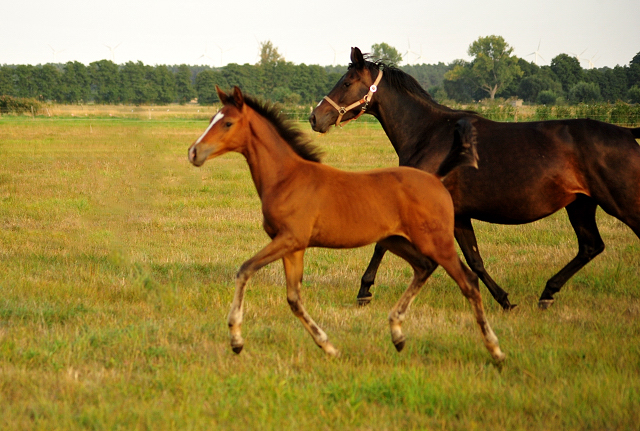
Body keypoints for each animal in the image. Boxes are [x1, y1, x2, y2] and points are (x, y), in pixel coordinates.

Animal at [189, 85, 504, 362]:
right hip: (397, 240)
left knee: (468, 282)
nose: (194, 152)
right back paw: (397, 334)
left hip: (437, 242)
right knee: (424, 268)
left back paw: (495, 350)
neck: (286, 177)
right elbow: (294, 298)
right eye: (212, 118)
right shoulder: (294, 247)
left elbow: (244, 270)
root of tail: (436, 179)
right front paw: (328, 347)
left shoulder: (289, 239)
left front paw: (236, 340)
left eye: (227, 123)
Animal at [310, 47, 640, 310]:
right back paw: (547, 293)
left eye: (347, 82)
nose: (315, 117)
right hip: (580, 204)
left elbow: (383, 243)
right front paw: (505, 300)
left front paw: (364, 290)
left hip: (621, 204)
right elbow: (475, 260)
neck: (431, 134)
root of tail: (626, 133)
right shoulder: (458, 214)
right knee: (590, 246)